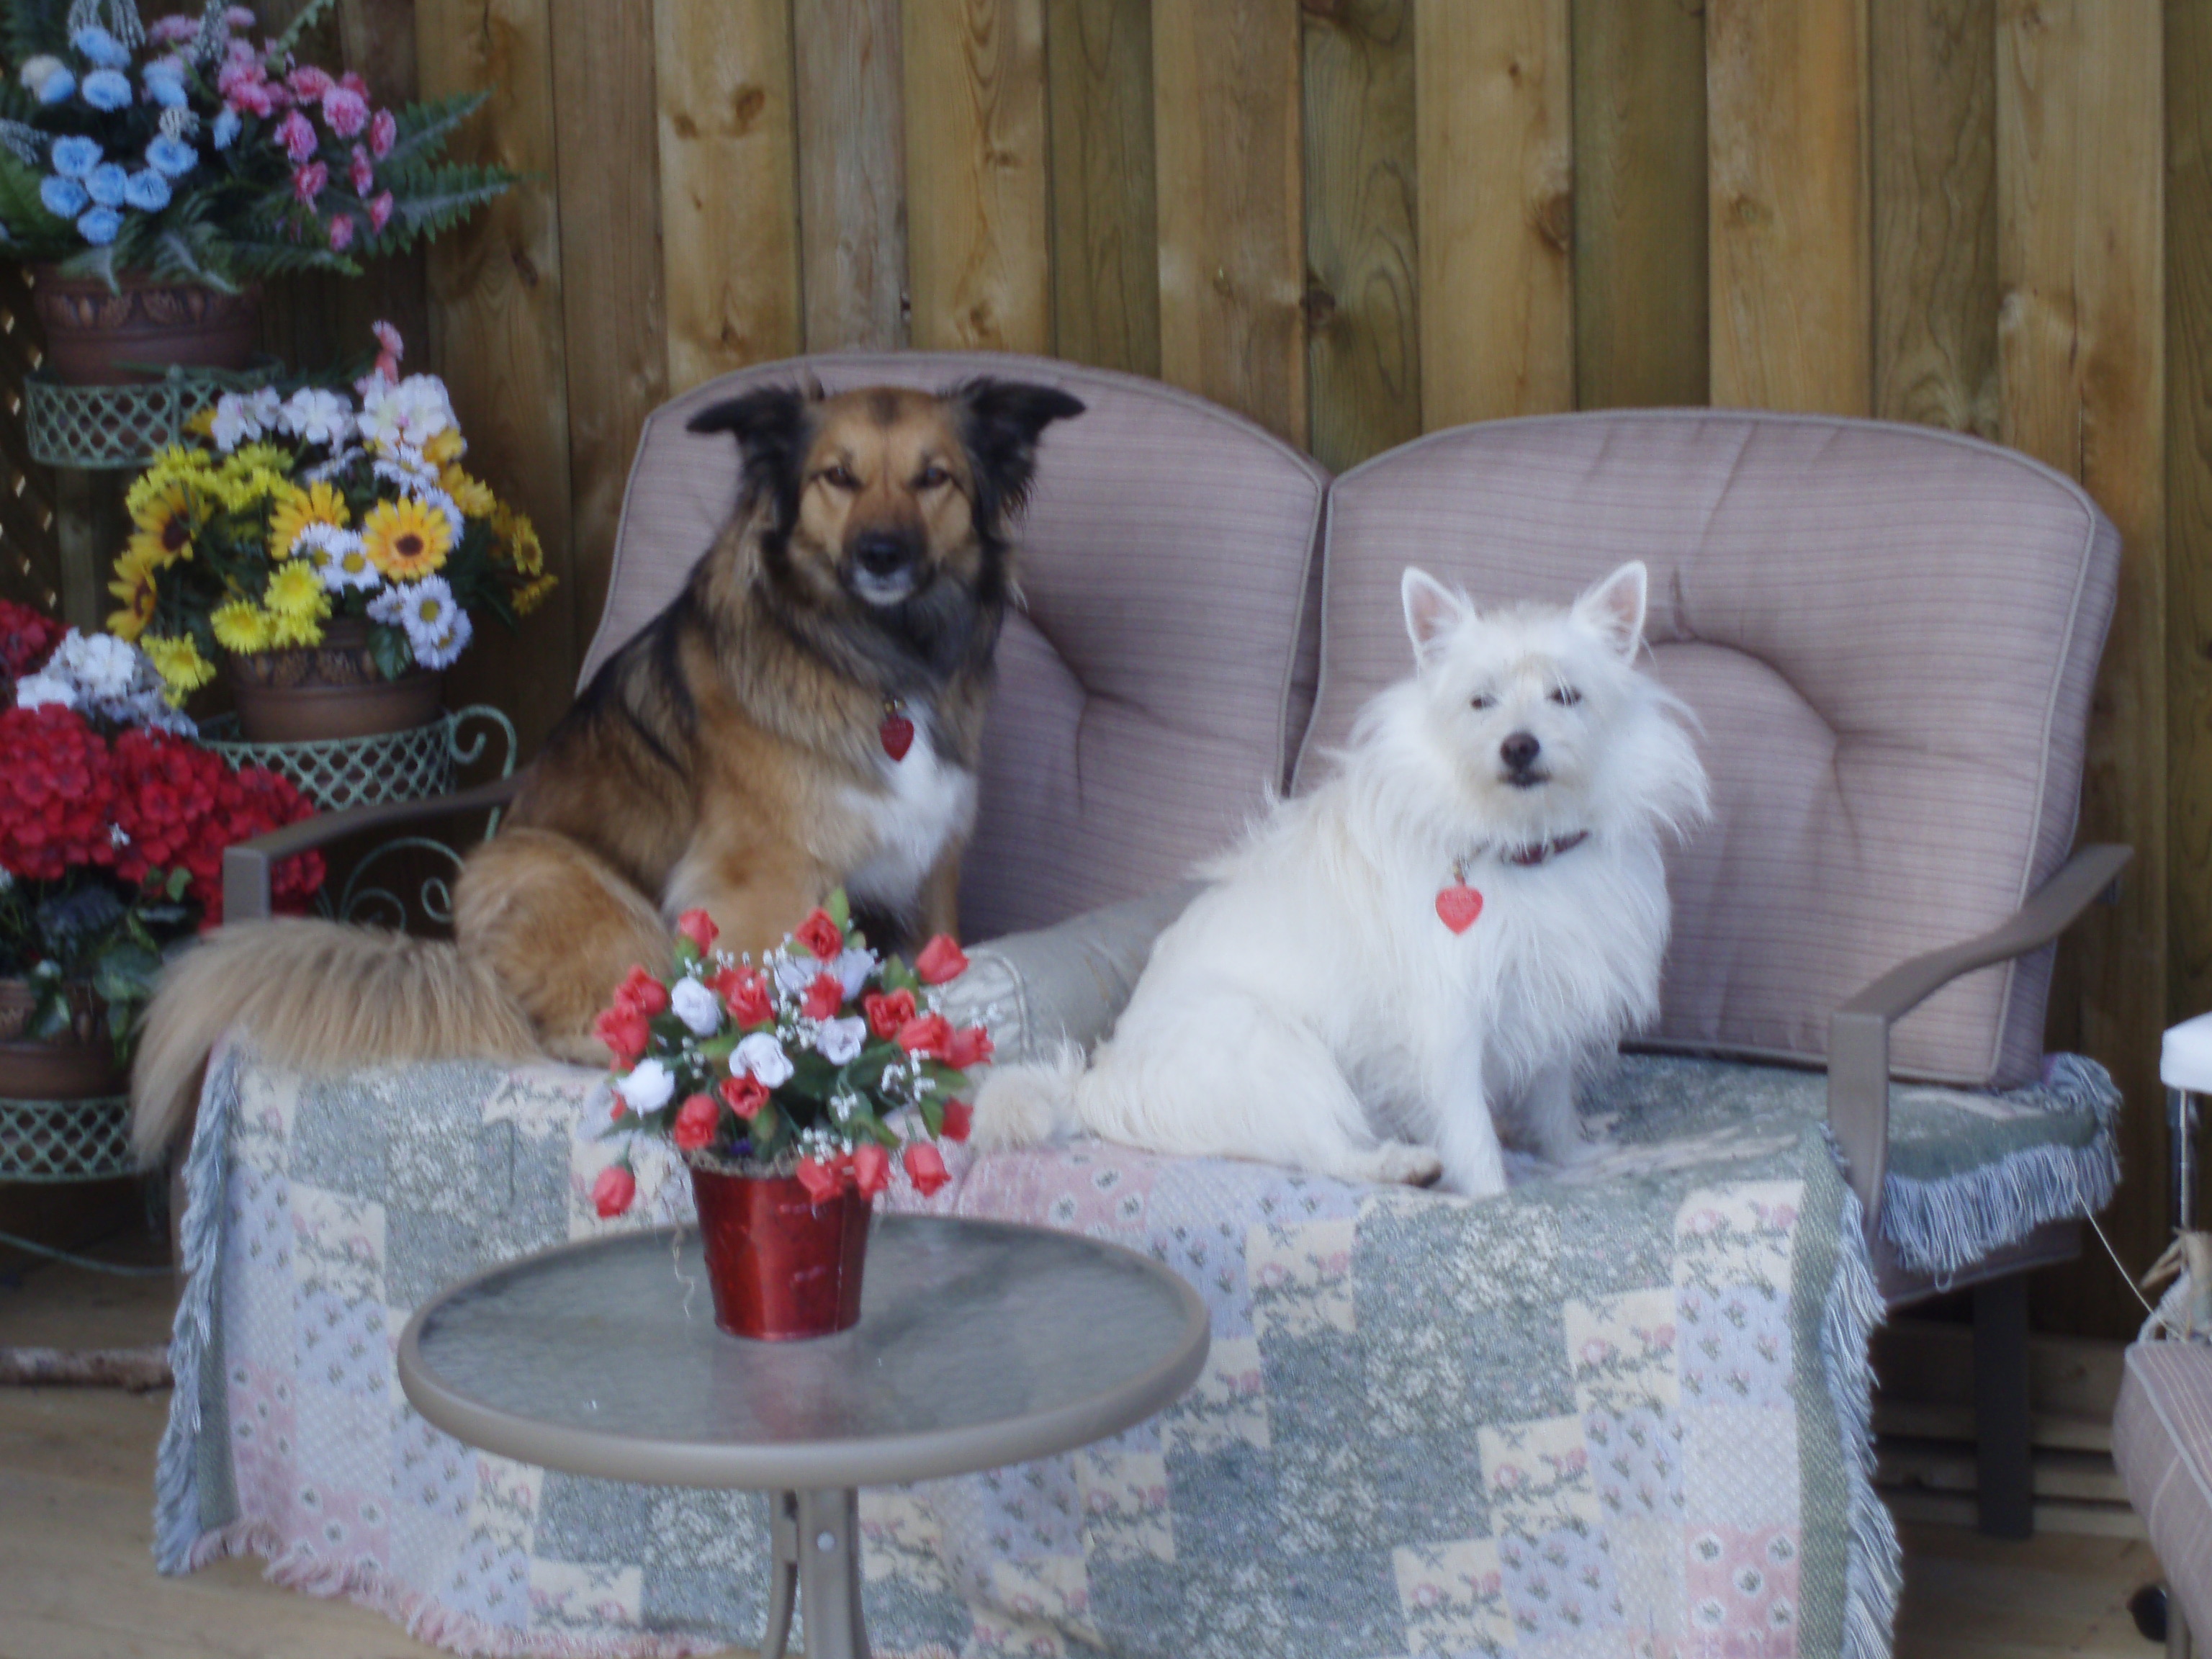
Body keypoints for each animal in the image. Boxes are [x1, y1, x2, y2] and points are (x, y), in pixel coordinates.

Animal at [131, 377, 1083, 1160]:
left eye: (935, 478)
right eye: (837, 477)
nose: (883, 554)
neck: (874, 662)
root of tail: (461, 965)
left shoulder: (932, 868)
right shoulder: (761, 882)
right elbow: (774, 1012)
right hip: (566, 879)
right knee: (580, 1029)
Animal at [973, 561, 1709, 1196]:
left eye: (1567, 695)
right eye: (1481, 701)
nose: (1519, 745)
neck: (1520, 841)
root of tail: (1099, 1082)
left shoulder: (1554, 991)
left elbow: (1553, 1100)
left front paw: (1573, 1158)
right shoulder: (1448, 1017)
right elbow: (1467, 1126)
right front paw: (1495, 1196)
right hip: (1274, 1048)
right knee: (1322, 1151)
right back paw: (1399, 1164)